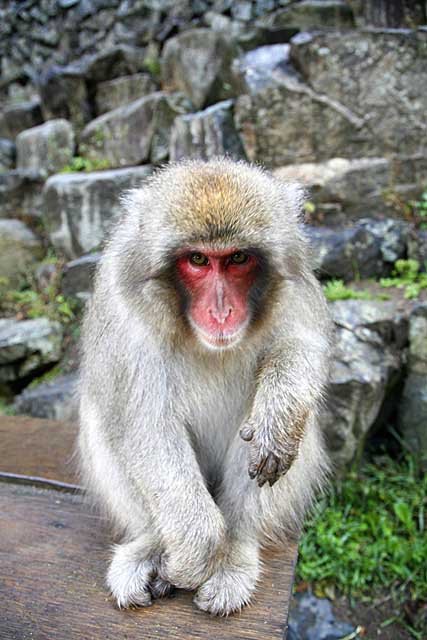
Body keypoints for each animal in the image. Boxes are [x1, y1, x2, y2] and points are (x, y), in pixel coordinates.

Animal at [79, 158, 334, 616]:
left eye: (238, 258)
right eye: (198, 259)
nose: (221, 311)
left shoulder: (294, 282)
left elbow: (303, 345)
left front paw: (278, 416)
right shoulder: (122, 304)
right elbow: (144, 423)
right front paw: (192, 552)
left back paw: (235, 551)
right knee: (103, 420)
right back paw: (152, 545)